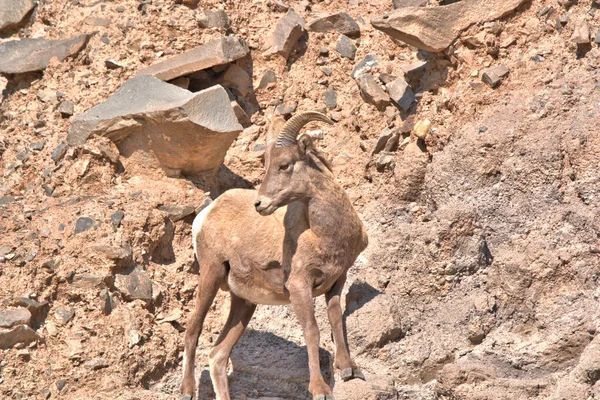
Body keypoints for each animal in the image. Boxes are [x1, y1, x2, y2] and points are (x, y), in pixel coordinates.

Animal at [182, 110, 370, 400]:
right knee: (193, 330)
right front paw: (320, 389)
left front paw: (349, 368)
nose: (260, 204)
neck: (324, 234)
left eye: (284, 165)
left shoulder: (337, 280)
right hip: (210, 276)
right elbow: (312, 331)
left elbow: (335, 318)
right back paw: (187, 390)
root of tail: (205, 215)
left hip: (244, 302)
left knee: (218, 356)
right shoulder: (299, 286)